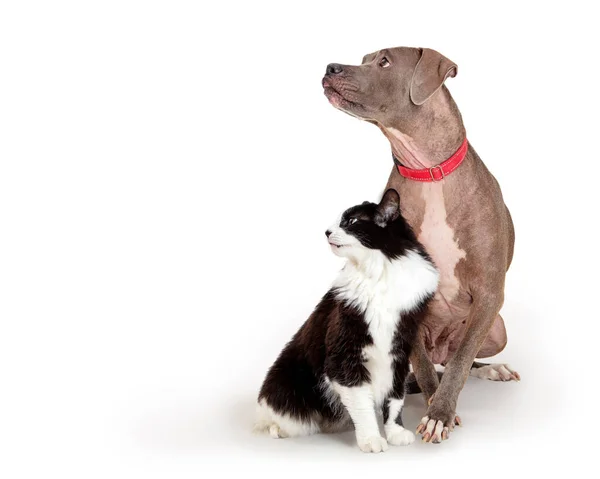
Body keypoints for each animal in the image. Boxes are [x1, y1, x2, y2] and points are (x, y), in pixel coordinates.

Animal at [254, 188, 440, 454]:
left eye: (351, 221)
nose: (326, 231)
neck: (379, 270)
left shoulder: (399, 351)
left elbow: (395, 398)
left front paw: (395, 433)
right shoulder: (344, 355)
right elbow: (362, 405)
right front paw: (371, 439)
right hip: (285, 384)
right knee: (279, 417)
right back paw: (278, 429)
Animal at [322, 47, 516, 444]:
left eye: (383, 61)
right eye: (364, 59)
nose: (330, 67)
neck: (427, 171)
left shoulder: (490, 294)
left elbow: (460, 362)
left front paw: (441, 412)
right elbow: (425, 367)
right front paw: (433, 409)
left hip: (497, 329)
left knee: (461, 356)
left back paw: (493, 369)